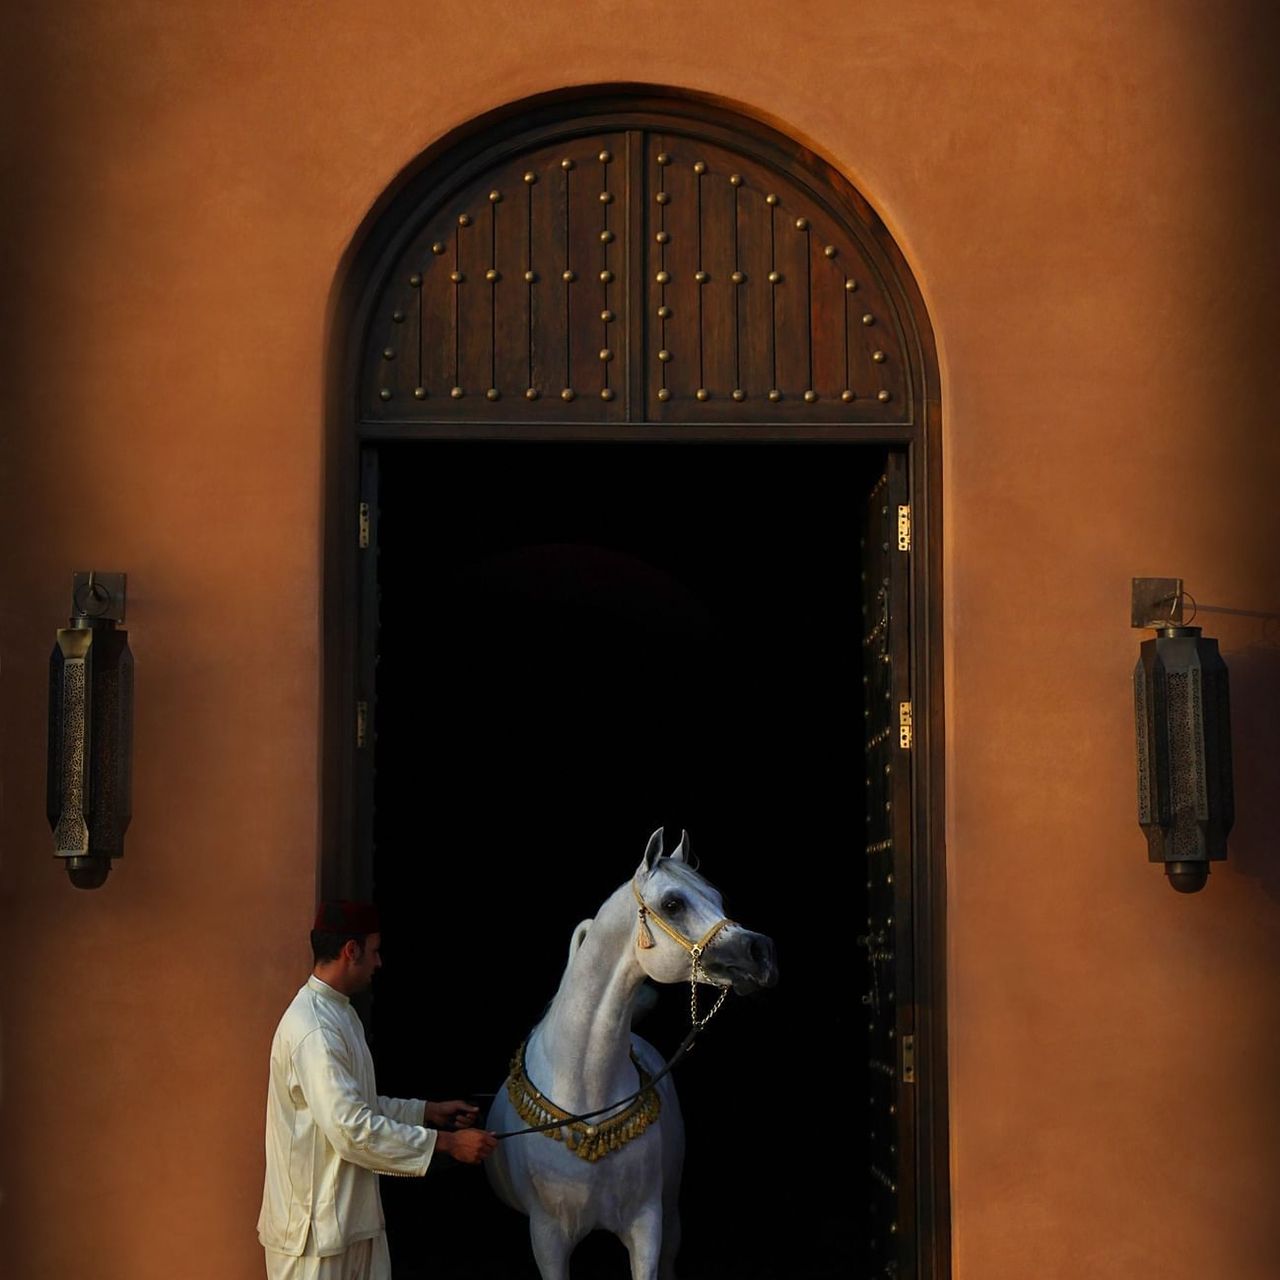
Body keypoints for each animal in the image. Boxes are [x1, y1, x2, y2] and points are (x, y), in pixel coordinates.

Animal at [481, 829, 773, 1280]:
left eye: (718, 898)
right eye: (672, 903)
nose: (761, 952)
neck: (587, 1096)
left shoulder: (647, 1226)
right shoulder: (548, 1239)